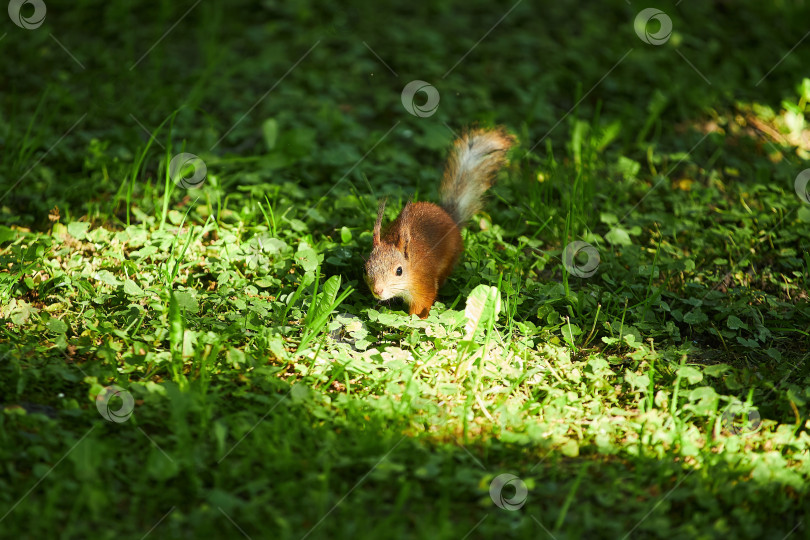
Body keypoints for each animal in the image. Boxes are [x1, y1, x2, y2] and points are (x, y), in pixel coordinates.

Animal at [364, 127, 516, 318]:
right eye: (366, 268)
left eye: (399, 271)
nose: (378, 291)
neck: (411, 265)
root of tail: (448, 215)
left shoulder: (423, 284)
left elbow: (422, 305)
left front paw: (414, 321)